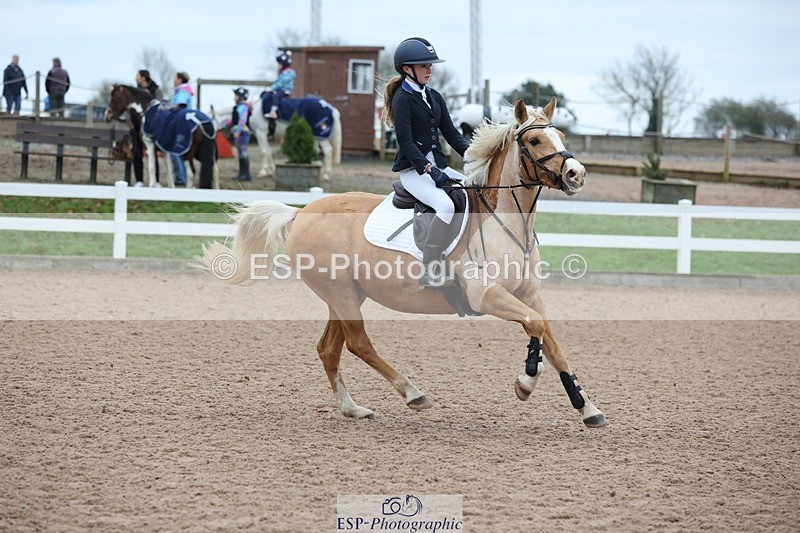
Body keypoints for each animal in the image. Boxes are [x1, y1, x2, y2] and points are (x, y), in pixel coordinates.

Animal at [200, 97, 607, 428]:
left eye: (560, 136)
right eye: (535, 141)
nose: (577, 174)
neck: (505, 220)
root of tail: (300, 212)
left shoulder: (529, 296)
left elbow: (552, 342)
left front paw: (587, 408)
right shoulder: (487, 296)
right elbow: (536, 328)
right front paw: (526, 382)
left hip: (344, 296)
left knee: (330, 349)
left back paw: (353, 409)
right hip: (341, 294)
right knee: (358, 344)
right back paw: (412, 393)